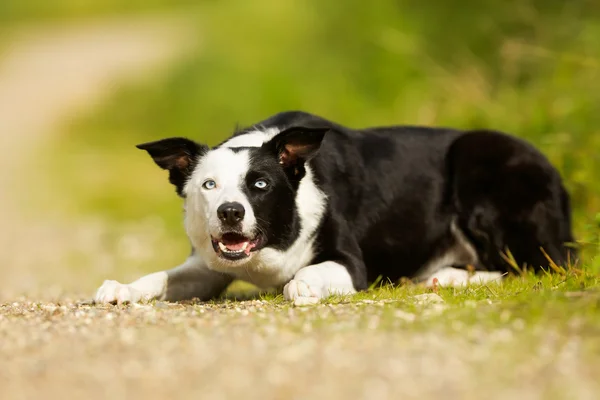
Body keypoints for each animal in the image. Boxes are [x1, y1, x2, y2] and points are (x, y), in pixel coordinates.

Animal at [95, 111, 576, 304]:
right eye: (208, 185)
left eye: (260, 184)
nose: (231, 212)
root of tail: (558, 175)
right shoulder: (207, 266)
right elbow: (162, 277)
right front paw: (122, 288)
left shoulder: (349, 262)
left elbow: (309, 274)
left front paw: (301, 285)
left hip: (480, 162)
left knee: (540, 265)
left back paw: (448, 277)